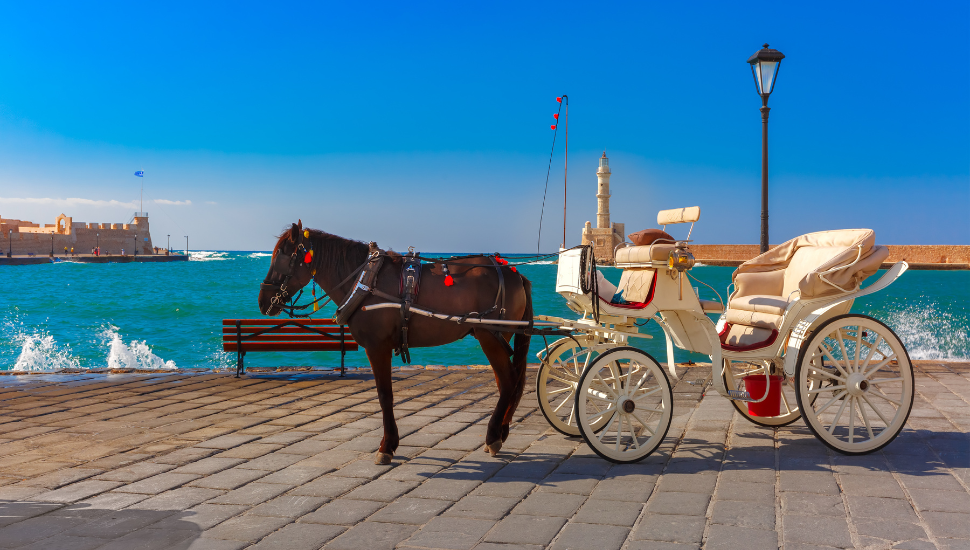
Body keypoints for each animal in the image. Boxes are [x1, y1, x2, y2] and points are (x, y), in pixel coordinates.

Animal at [258, 220, 532, 466]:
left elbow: (384, 395)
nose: (262, 300)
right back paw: (500, 432)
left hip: (490, 336)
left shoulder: (377, 346)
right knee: (507, 383)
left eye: (281, 256)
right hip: (499, 337)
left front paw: (387, 446)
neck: (364, 280)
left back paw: (493, 437)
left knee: (509, 382)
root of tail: (515, 273)